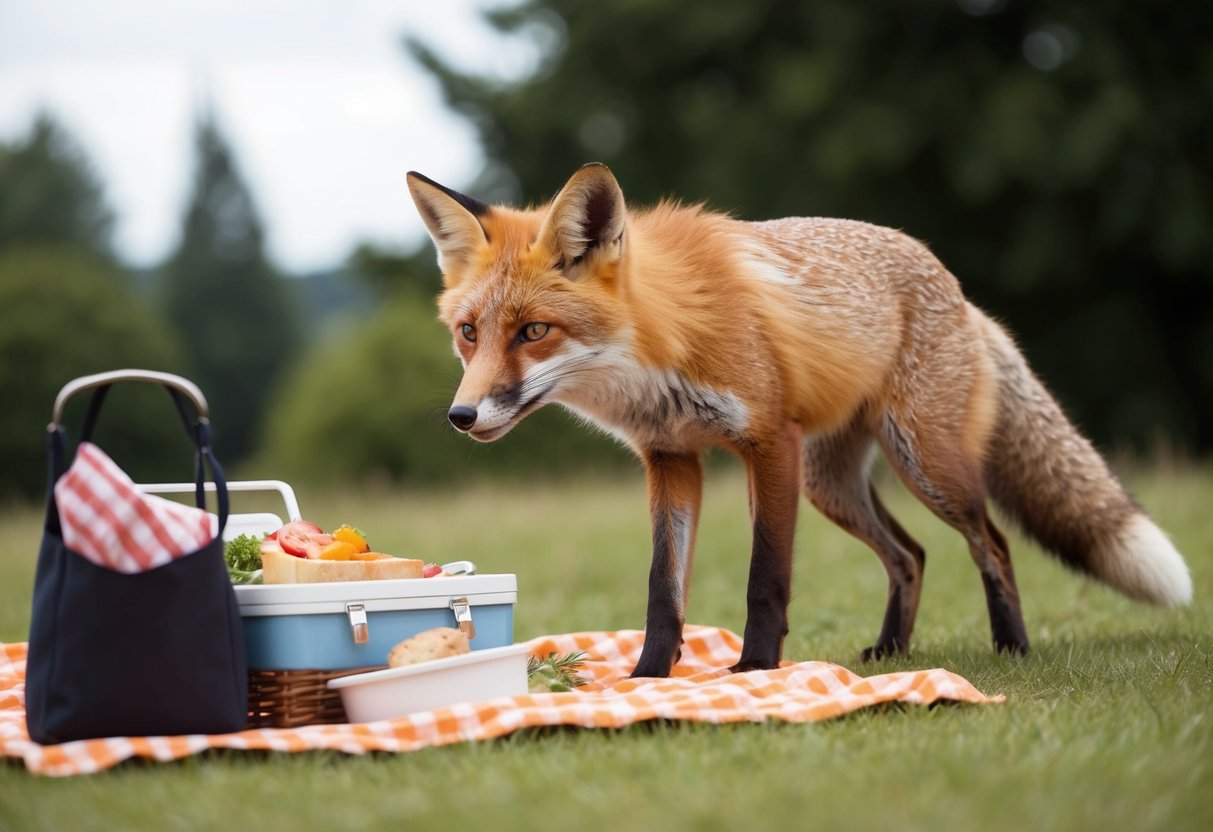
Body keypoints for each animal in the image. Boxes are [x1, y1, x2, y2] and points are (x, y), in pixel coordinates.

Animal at [406, 162, 1192, 678]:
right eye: (469, 333)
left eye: (534, 332)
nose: (460, 415)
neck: (661, 345)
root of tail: (960, 291)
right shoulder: (672, 459)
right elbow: (664, 589)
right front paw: (648, 679)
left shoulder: (767, 444)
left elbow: (766, 577)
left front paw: (755, 669)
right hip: (833, 484)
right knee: (911, 555)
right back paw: (891, 652)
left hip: (926, 466)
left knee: (991, 544)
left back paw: (1012, 647)